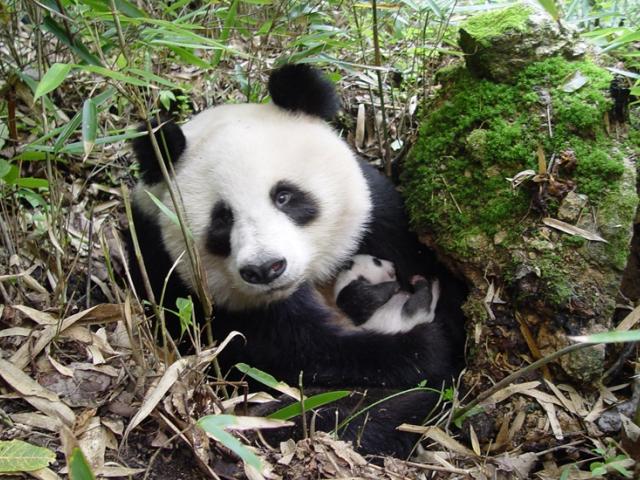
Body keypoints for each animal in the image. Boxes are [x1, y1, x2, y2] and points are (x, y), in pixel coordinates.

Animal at [128, 64, 466, 457]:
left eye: (284, 196)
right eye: (222, 219)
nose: (265, 268)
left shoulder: (380, 219)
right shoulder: (182, 282)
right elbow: (303, 354)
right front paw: (421, 348)